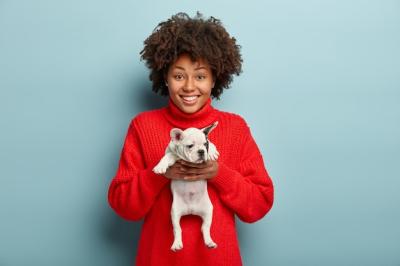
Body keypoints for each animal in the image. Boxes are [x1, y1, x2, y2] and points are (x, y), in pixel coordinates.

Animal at [153, 121, 220, 250]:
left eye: (205, 144)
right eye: (190, 146)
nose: (202, 151)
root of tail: (191, 210)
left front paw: (212, 151)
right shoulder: (171, 153)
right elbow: (168, 156)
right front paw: (160, 166)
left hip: (208, 210)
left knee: (205, 228)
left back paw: (209, 242)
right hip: (174, 213)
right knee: (177, 229)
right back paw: (177, 244)